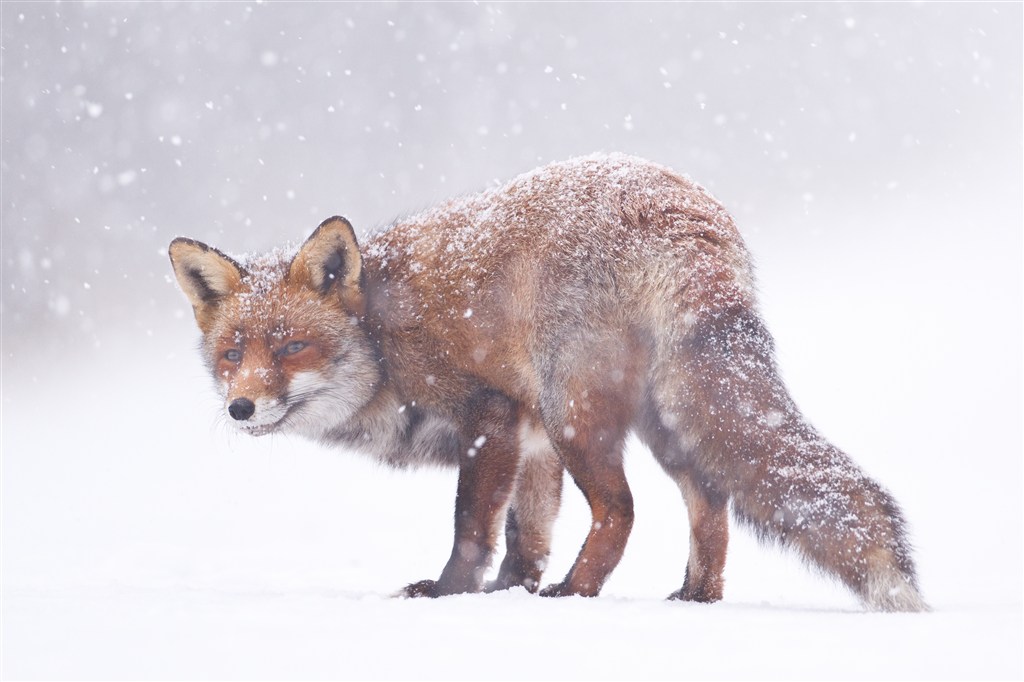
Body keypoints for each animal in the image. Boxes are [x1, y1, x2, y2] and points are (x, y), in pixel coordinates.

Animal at [169, 153, 929, 610]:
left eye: (292, 346)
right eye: (232, 353)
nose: (241, 407)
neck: (382, 338)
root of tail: (680, 208)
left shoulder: (493, 415)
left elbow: (472, 528)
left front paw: (450, 595)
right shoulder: (530, 442)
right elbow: (525, 535)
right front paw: (511, 594)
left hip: (578, 413)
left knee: (622, 511)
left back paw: (577, 594)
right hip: (662, 421)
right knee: (710, 506)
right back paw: (692, 599)